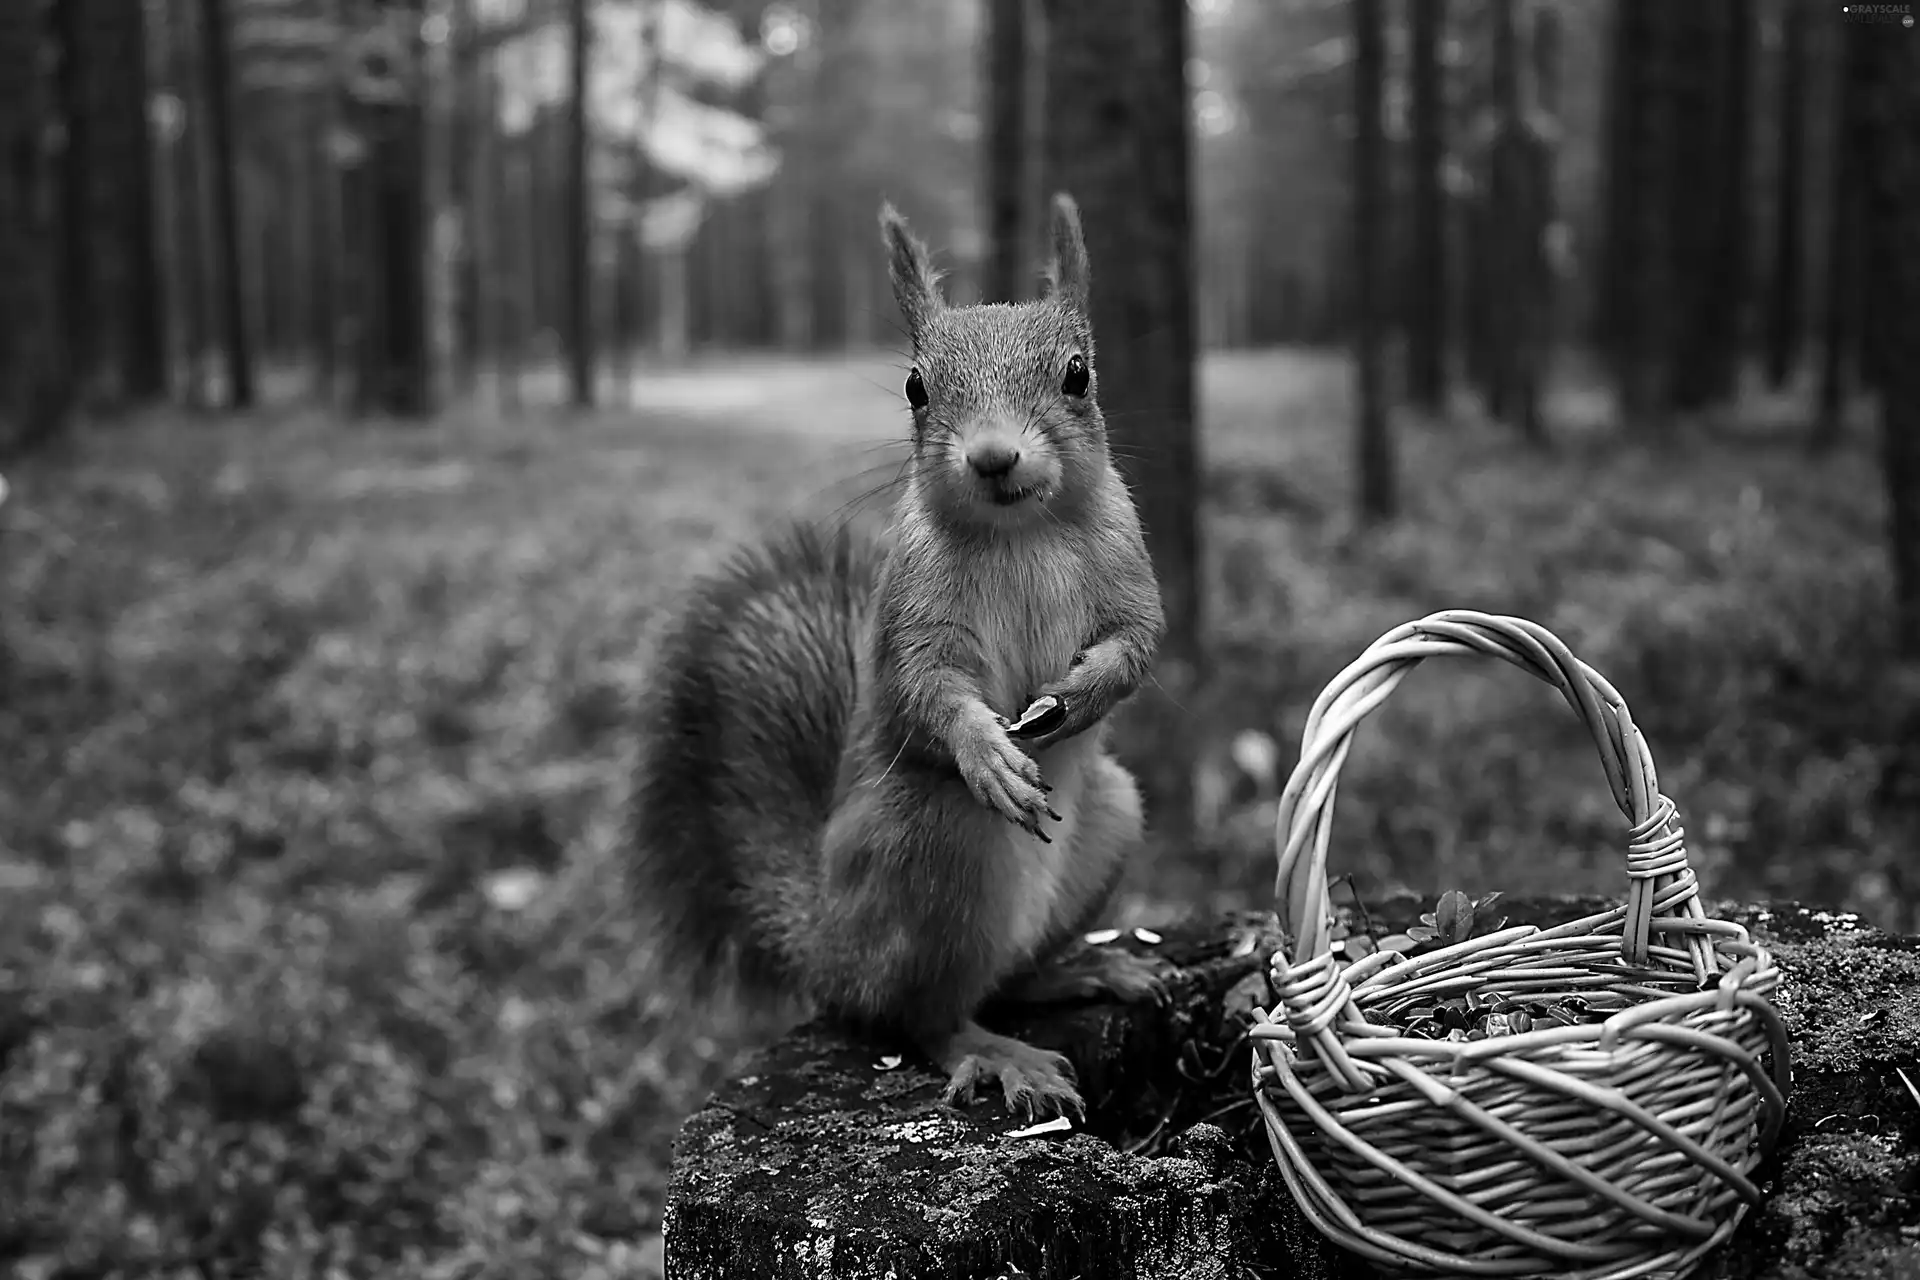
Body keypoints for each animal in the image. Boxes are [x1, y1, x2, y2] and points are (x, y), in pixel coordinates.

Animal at [633, 189, 1167, 1120]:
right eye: (917, 387)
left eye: (1078, 374)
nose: (993, 455)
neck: (1020, 529)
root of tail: (829, 954)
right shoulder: (911, 609)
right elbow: (925, 688)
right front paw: (986, 751)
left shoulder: (1129, 566)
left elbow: (1138, 641)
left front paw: (1081, 695)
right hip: (929, 846)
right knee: (923, 1016)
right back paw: (998, 1054)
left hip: (1111, 818)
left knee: (1007, 977)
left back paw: (1083, 970)